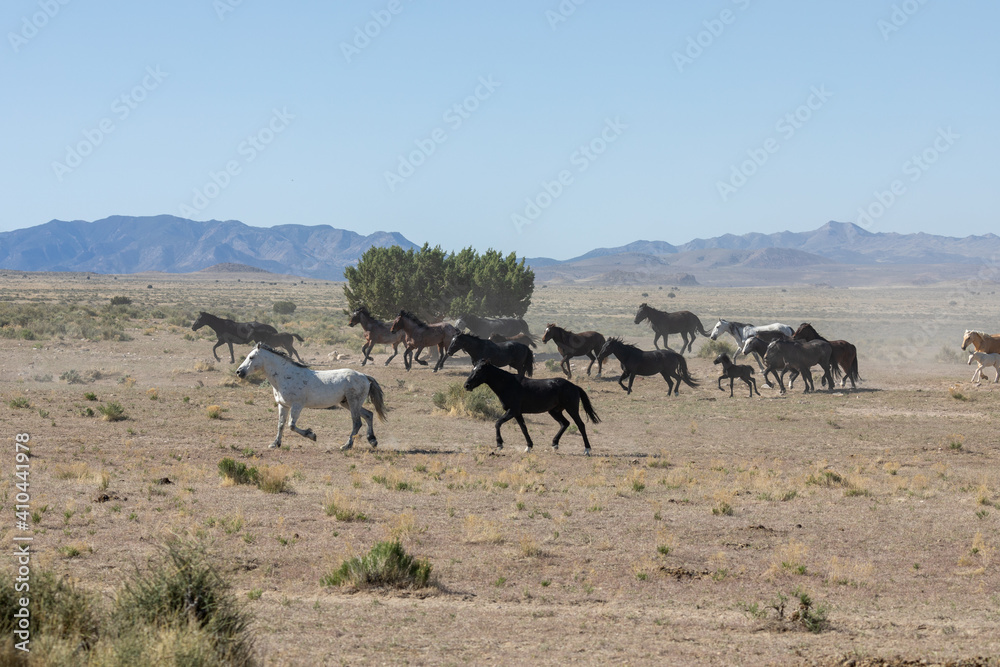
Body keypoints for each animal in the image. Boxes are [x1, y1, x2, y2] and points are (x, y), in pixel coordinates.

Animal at [235, 343, 387, 450]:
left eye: (251, 357)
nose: (239, 372)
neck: (286, 376)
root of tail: (364, 376)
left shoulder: (297, 405)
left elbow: (291, 425)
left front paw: (312, 435)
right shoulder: (283, 405)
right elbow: (281, 425)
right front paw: (275, 444)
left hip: (353, 402)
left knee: (357, 422)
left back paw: (346, 446)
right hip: (347, 403)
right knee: (369, 415)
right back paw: (372, 440)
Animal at [463, 361, 600, 455]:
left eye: (479, 371)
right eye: (472, 369)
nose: (466, 385)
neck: (508, 384)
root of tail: (574, 386)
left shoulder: (512, 411)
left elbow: (497, 423)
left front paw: (499, 444)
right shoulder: (517, 413)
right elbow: (524, 428)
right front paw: (528, 446)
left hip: (571, 409)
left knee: (580, 425)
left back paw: (587, 449)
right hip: (554, 411)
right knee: (565, 423)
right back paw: (554, 444)